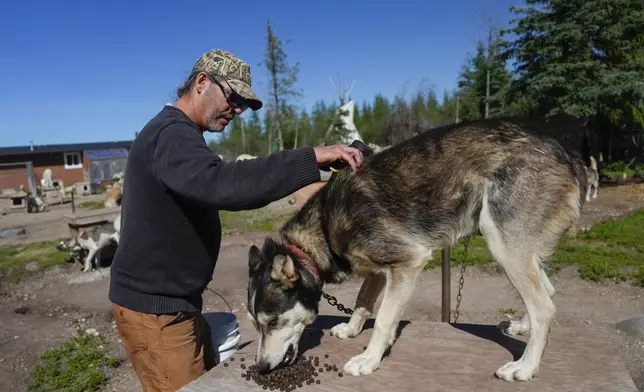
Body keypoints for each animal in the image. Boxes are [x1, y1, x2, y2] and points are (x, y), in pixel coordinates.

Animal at [245, 117, 588, 382]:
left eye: (272, 322)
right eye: (255, 324)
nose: (260, 367)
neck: (325, 223)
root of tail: (569, 154)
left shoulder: (408, 262)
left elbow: (383, 319)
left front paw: (369, 359)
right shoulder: (378, 271)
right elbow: (362, 302)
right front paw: (353, 330)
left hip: (500, 241)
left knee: (545, 307)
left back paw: (525, 367)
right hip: (514, 247)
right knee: (547, 290)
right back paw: (520, 327)